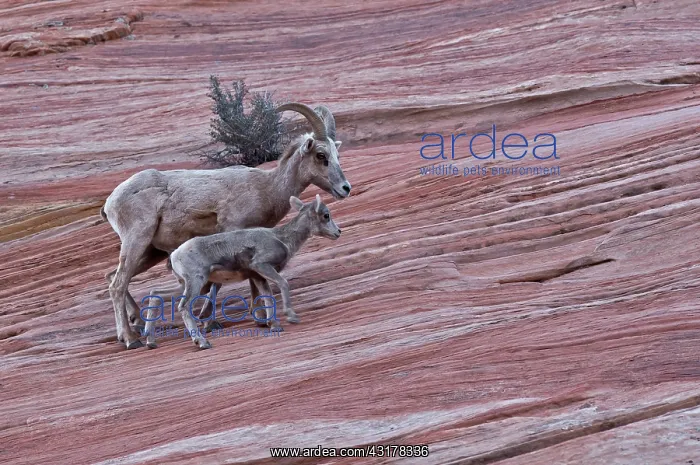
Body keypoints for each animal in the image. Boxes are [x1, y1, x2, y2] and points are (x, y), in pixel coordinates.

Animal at [144, 194, 340, 349]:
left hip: (188, 284)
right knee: (183, 307)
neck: (282, 239)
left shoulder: (258, 276)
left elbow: (267, 297)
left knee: (156, 294)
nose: (338, 232)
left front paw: (274, 325)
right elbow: (283, 284)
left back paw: (150, 341)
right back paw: (202, 343)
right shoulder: (262, 266)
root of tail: (175, 255)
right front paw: (291, 317)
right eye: (326, 215)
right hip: (197, 282)